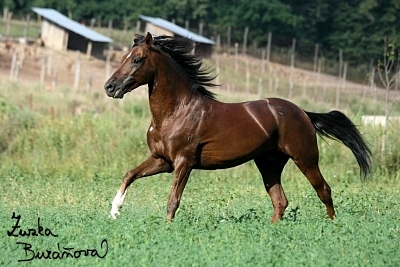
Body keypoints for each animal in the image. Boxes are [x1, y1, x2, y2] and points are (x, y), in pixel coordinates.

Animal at [104, 32, 372, 223]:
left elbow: (173, 200)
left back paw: (333, 226)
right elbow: (129, 174)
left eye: (137, 59)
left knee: (323, 190)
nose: (110, 87)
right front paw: (114, 211)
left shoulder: (183, 162)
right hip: (269, 164)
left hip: (305, 158)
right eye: (123, 58)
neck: (176, 112)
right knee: (280, 201)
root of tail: (303, 112)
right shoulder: (162, 160)